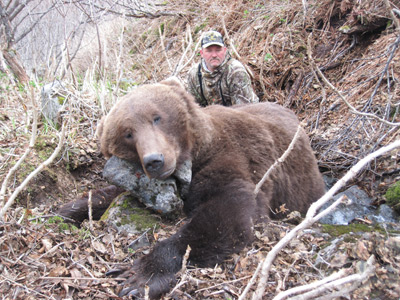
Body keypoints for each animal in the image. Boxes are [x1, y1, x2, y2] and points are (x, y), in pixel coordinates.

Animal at [97, 77, 324, 298]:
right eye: (127, 134)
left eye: (157, 117)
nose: (154, 160)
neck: (198, 149)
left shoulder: (231, 157)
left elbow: (228, 215)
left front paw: (141, 275)